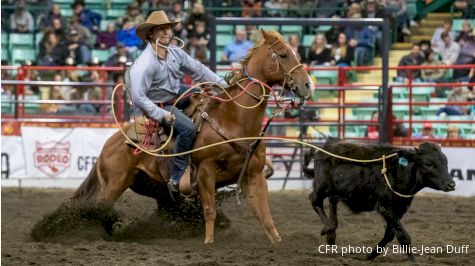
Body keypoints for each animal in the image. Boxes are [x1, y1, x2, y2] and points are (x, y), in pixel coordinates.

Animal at [72, 30, 314, 244]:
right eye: (283, 54)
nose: (308, 85)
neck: (233, 120)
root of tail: (107, 145)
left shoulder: (254, 174)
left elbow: (264, 214)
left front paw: (277, 242)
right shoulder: (206, 173)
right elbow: (210, 210)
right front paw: (208, 242)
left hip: (155, 189)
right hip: (113, 186)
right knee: (98, 210)